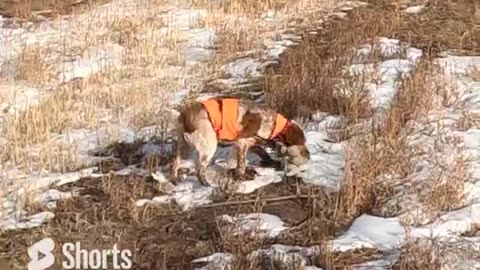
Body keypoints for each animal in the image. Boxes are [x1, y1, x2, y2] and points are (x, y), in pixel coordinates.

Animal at [171, 97, 310, 186]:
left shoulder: (249, 143)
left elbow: (262, 152)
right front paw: (242, 176)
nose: (307, 154)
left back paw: (174, 180)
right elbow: (242, 164)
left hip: (184, 147)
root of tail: (185, 116)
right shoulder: (242, 143)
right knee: (199, 170)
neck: (273, 122)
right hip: (209, 147)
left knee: (175, 164)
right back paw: (207, 184)